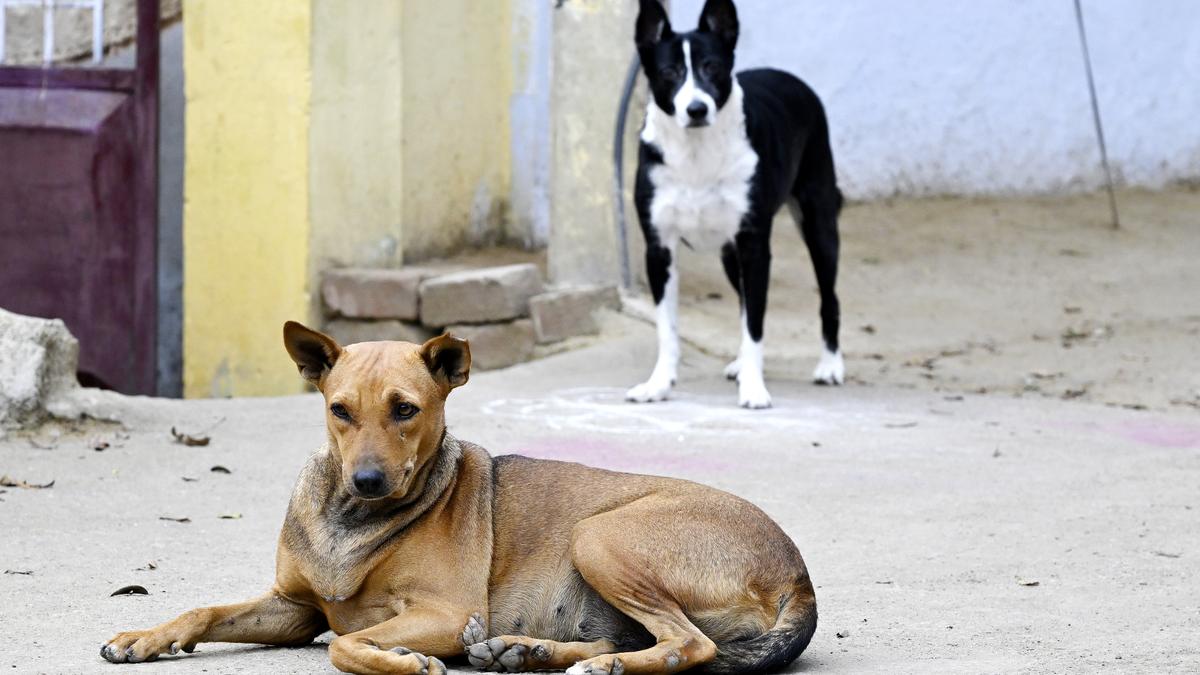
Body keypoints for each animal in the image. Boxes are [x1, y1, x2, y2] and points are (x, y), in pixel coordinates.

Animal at [100, 324, 816, 667]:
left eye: (406, 410)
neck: (350, 520)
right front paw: (146, 637)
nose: (367, 480)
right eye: (339, 410)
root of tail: (796, 573)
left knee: (690, 646)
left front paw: (408, 662)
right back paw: (526, 654)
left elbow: (345, 645)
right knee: (642, 642)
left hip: (599, 534)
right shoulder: (294, 607)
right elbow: (205, 610)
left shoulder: (442, 613)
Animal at [628, 0, 844, 408]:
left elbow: (755, 325)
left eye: (712, 66)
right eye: (669, 73)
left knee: (829, 297)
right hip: (730, 255)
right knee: (744, 300)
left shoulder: (754, 245)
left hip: (819, 225)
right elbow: (667, 327)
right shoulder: (658, 249)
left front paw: (754, 389)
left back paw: (830, 365)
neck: (696, 153)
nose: (697, 109)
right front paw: (658, 384)